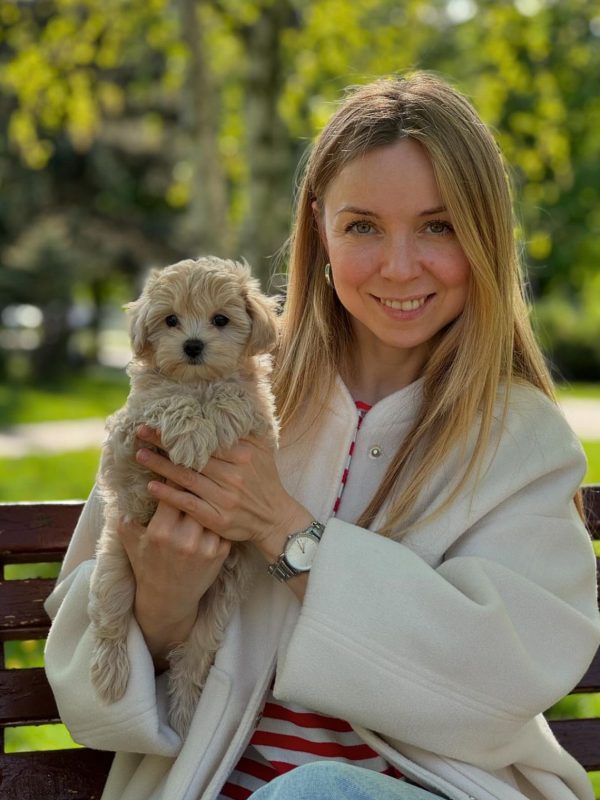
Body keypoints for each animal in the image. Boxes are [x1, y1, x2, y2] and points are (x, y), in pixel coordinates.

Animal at [88, 256, 278, 736]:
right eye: (171, 320)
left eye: (221, 320)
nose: (192, 345)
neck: (197, 381)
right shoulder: (128, 433)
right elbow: (169, 399)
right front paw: (192, 433)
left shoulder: (262, 423)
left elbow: (237, 397)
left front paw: (218, 419)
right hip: (114, 566)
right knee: (112, 621)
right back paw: (111, 677)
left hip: (219, 602)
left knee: (193, 658)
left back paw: (186, 711)